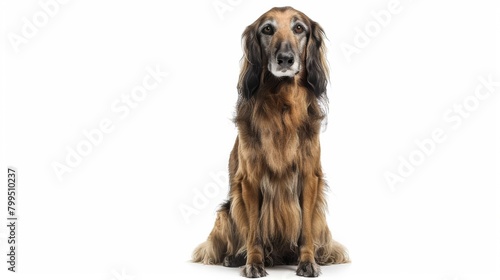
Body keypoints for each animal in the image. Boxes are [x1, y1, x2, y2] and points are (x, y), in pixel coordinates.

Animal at [193, 6, 350, 278]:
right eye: (267, 29)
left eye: (299, 28)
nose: (285, 59)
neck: (282, 106)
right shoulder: (250, 180)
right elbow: (253, 231)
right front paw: (254, 263)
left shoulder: (309, 177)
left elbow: (305, 231)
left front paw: (307, 262)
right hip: (226, 211)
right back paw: (235, 257)